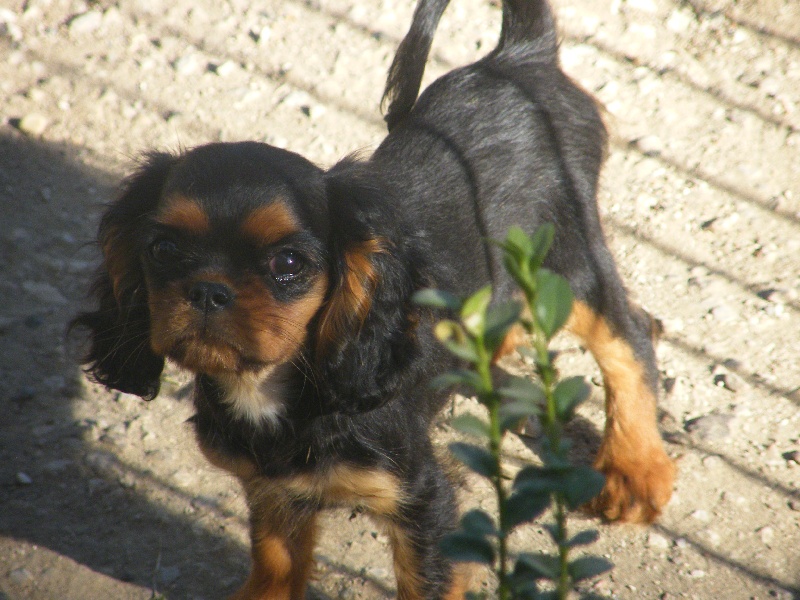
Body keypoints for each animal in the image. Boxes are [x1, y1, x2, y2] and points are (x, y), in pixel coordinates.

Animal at [73, 0, 675, 597]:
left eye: (288, 265)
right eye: (163, 248)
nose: (207, 291)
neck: (270, 389)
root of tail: (519, 54)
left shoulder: (424, 502)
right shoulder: (275, 493)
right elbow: (274, 566)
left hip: (568, 265)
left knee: (631, 334)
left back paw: (634, 469)